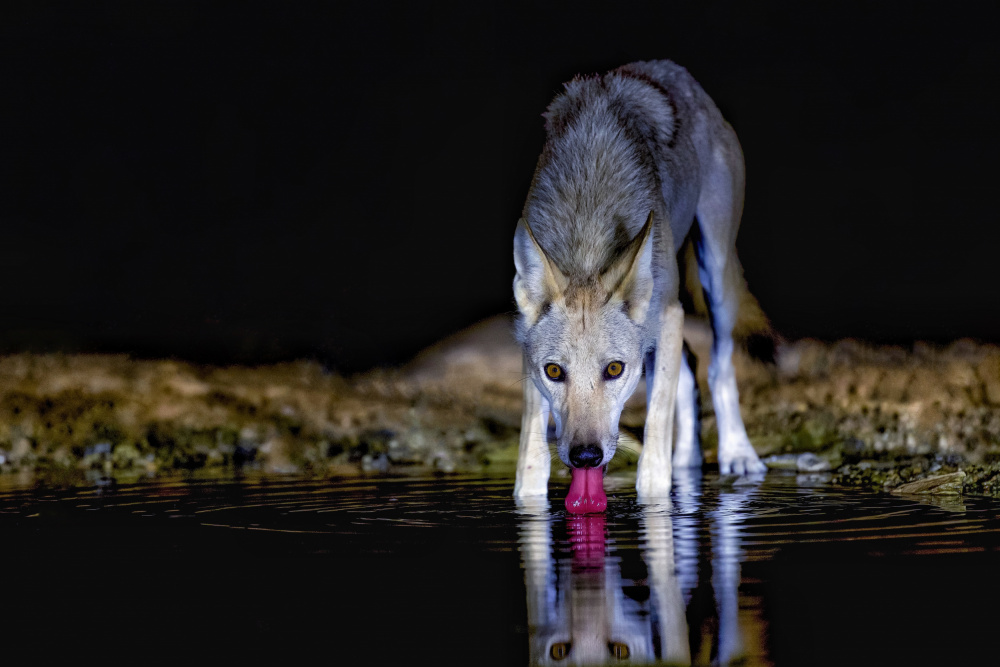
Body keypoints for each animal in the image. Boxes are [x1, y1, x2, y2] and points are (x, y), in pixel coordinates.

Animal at [512, 61, 768, 512]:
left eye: (614, 369)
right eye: (554, 371)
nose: (585, 456)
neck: (588, 237)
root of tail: (676, 73)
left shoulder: (668, 314)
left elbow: (652, 460)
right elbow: (530, 464)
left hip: (713, 278)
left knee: (718, 366)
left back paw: (738, 454)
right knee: (690, 368)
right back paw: (689, 461)